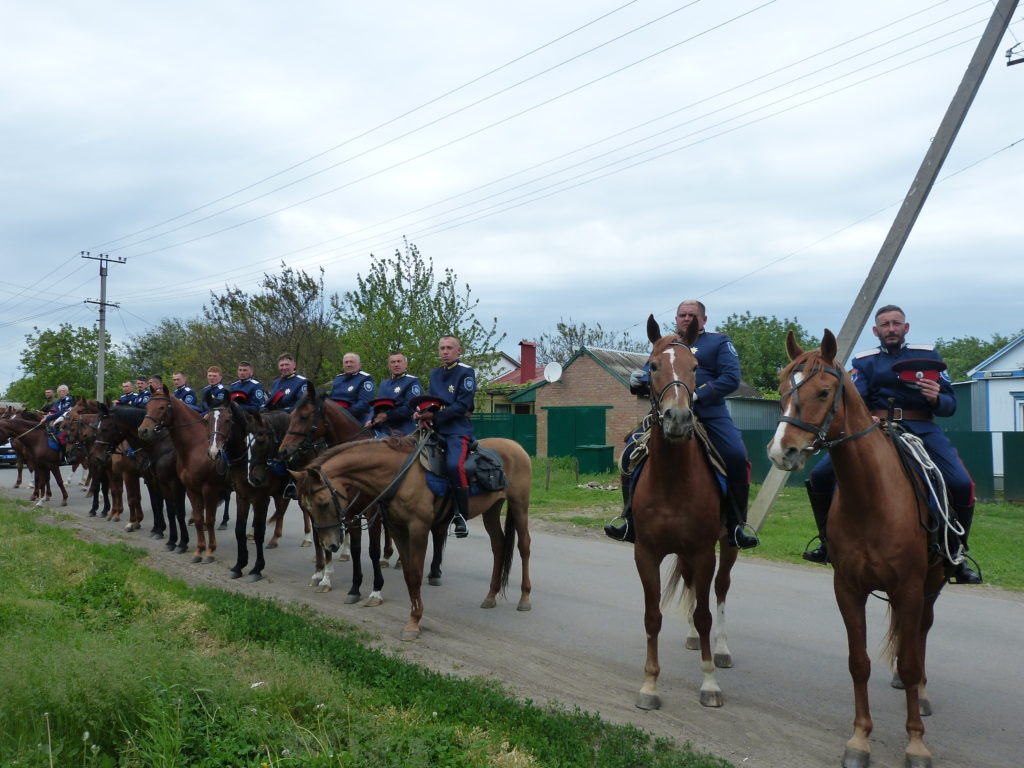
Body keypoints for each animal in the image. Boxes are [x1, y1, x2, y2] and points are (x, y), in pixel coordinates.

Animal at [139, 387, 227, 561]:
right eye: (147, 407)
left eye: (162, 407)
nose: (143, 430)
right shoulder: (167, 485)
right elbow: (173, 512)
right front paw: (173, 541)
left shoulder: (192, 487)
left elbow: (189, 515)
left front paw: (185, 544)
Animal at [292, 434, 532, 643]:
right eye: (306, 506)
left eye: (323, 502)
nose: (330, 544)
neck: (398, 474)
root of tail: (516, 446)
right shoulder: (398, 529)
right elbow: (408, 574)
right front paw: (413, 616)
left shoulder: (418, 529)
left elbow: (416, 573)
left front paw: (414, 622)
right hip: (491, 509)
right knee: (498, 545)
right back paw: (491, 595)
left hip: (519, 505)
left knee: (524, 546)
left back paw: (524, 598)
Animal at [626, 315, 741, 712]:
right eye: (651, 366)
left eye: (695, 367)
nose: (677, 418)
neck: (673, 478)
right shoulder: (645, 552)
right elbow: (652, 616)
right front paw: (649, 685)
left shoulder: (705, 551)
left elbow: (706, 614)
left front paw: (710, 682)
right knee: (693, 587)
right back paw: (691, 636)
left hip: (727, 547)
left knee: (719, 591)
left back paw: (721, 649)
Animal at [765, 331, 946, 768]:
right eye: (782, 388)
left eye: (824, 391)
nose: (782, 452)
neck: (871, 497)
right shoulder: (847, 588)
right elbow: (858, 662)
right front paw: (860, 738)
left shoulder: (910, 587)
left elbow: (912, 661)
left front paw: (916, 743)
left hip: (931, 585)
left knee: (922, 634)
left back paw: (922, 694)